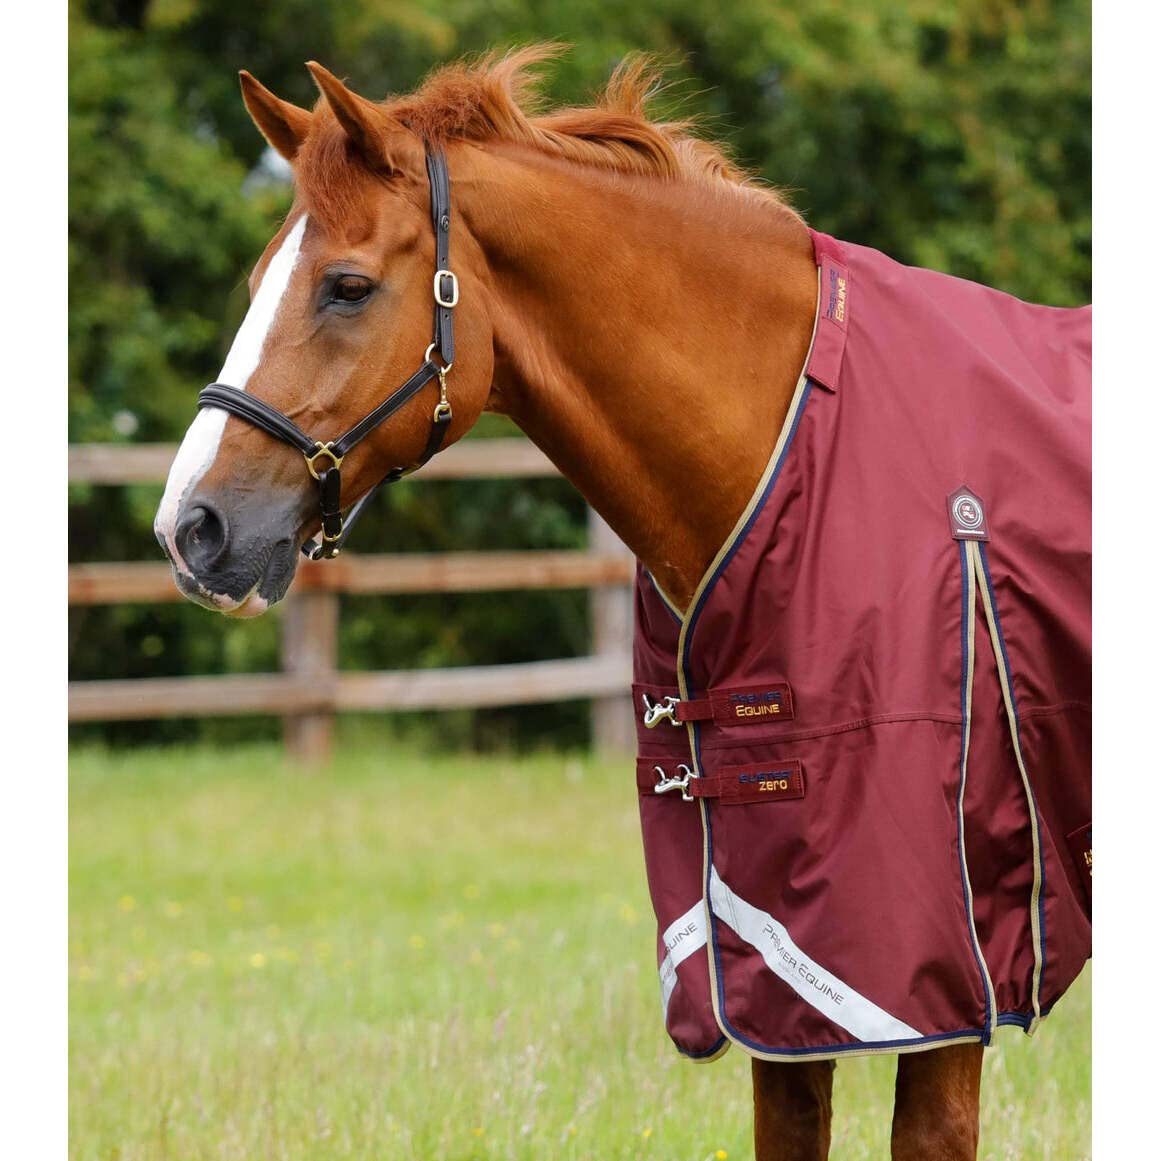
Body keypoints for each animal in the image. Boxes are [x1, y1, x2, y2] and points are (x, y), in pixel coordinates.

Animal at [153, 47, 1091, 1160]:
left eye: (346, 288)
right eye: (260, 284)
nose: (191, 527)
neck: (801, 443)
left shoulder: (940, 975)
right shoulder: (766, 967)